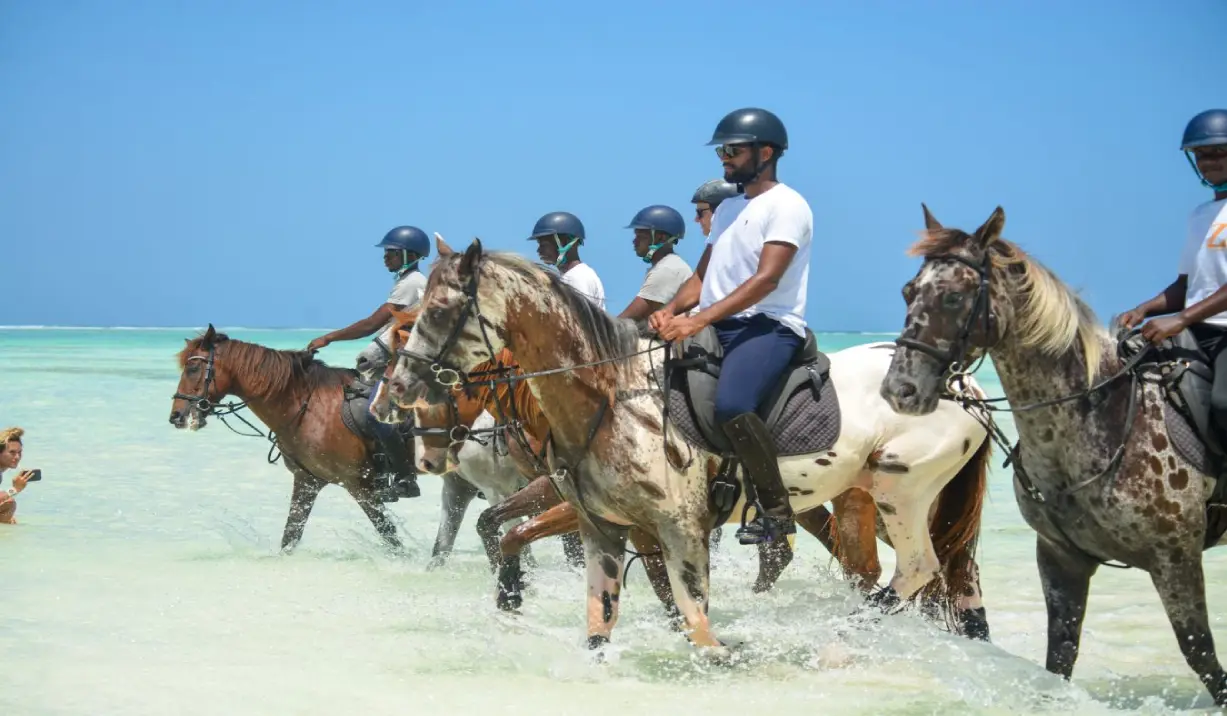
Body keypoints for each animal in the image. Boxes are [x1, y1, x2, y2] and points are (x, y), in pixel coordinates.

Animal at [168, 323, 409, 554]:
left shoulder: (359, 485)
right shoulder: (307, 482)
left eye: (192, 369)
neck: (309, 408)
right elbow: (290, 537)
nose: (176, 416)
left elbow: (391, 538)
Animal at [385, 235, 996, 652]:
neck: (611, 395)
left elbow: (688, 612)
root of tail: (962, 385)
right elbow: (605, 606)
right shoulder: (610, 523)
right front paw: (512, 597)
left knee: (914, 568)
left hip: (900, 491)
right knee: (946, 573)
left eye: (437, 311)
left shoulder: (672, 525)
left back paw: (846, 630)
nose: (399, 389)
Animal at [883, 204, 1227, 706]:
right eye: (909, 291)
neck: (1101, 419)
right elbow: (1060, 656)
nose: (899, 390)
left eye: (953, 297)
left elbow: (1202, 655)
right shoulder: (1061, 558)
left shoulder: (1175, 558)